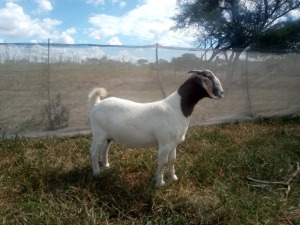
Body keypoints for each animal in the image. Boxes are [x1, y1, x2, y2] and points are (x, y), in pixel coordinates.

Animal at [88, 70, 223, 186]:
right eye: (209, 77)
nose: (221, 93)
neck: (176, 108)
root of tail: (96, 104)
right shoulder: (164, 143)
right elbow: (163, 162)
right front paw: (160, 183)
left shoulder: (173, 143)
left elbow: (172, 160)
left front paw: (173, 178)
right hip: (99, 134)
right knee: (94, 152)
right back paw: (96, 173)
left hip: (108, 136)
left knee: (104, 149)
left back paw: (106, 165)